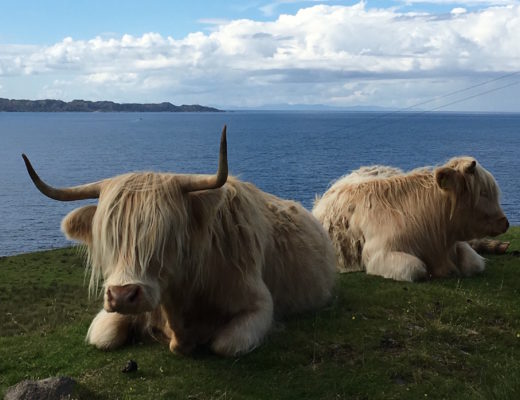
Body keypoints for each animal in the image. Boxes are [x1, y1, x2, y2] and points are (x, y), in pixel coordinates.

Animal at [312, 158, 508, 282]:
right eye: (483, 193)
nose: (505, 222)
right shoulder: (378, 254)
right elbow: (416, 268)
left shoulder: (455, 242)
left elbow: (474, 263)